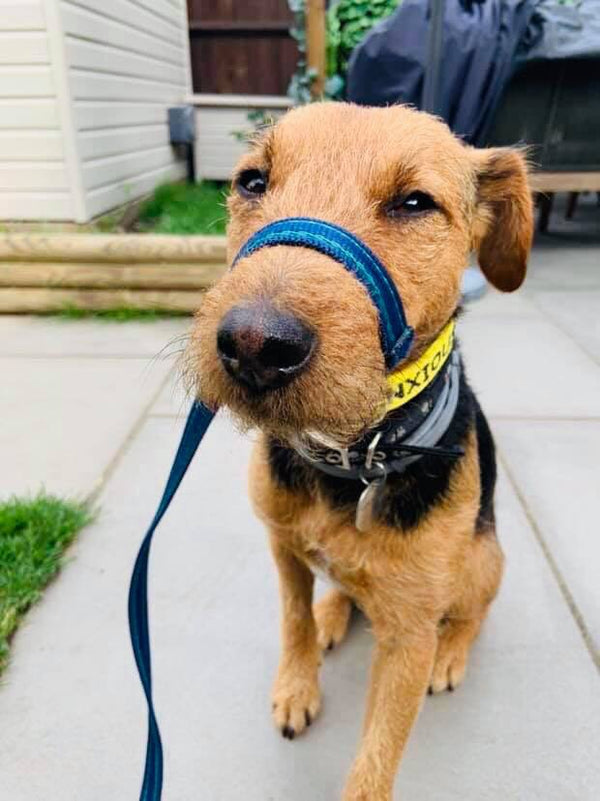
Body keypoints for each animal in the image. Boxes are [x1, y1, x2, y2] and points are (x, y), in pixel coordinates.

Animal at [185, 103, 532, 796]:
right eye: (252, 181)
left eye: (415, 201)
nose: (253, 345)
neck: (350, 459)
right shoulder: (283, 546)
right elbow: (292, 618)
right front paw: (297, 687)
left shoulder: (408, 634)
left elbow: (379, 751)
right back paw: (334, 613)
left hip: (484, 559)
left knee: (472, 614)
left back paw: (451, 655)